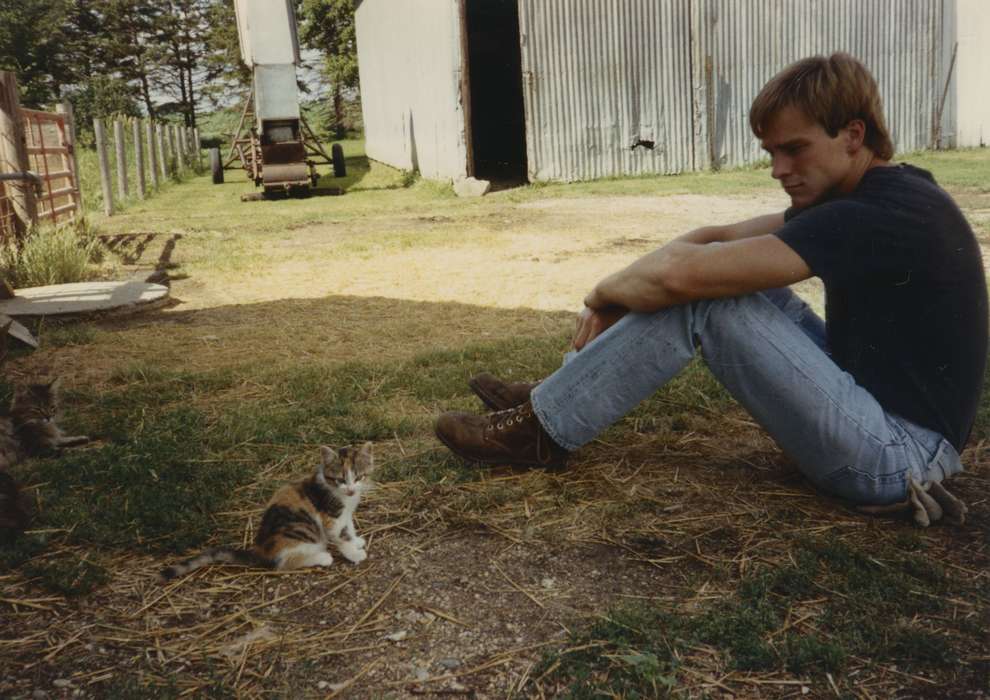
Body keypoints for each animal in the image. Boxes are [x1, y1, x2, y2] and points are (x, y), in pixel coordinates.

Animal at [161, 440, 378, 584]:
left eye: (358, 477)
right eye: (340, 479)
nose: (350, 489)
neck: (340, 495)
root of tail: (259, 551)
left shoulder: (345, 513)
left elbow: (349, 527)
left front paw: (356, 540)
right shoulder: (330, 517)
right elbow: (340, 536)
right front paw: (354, 554)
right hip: (299, 533)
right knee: (282, 564)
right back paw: (322, 557)